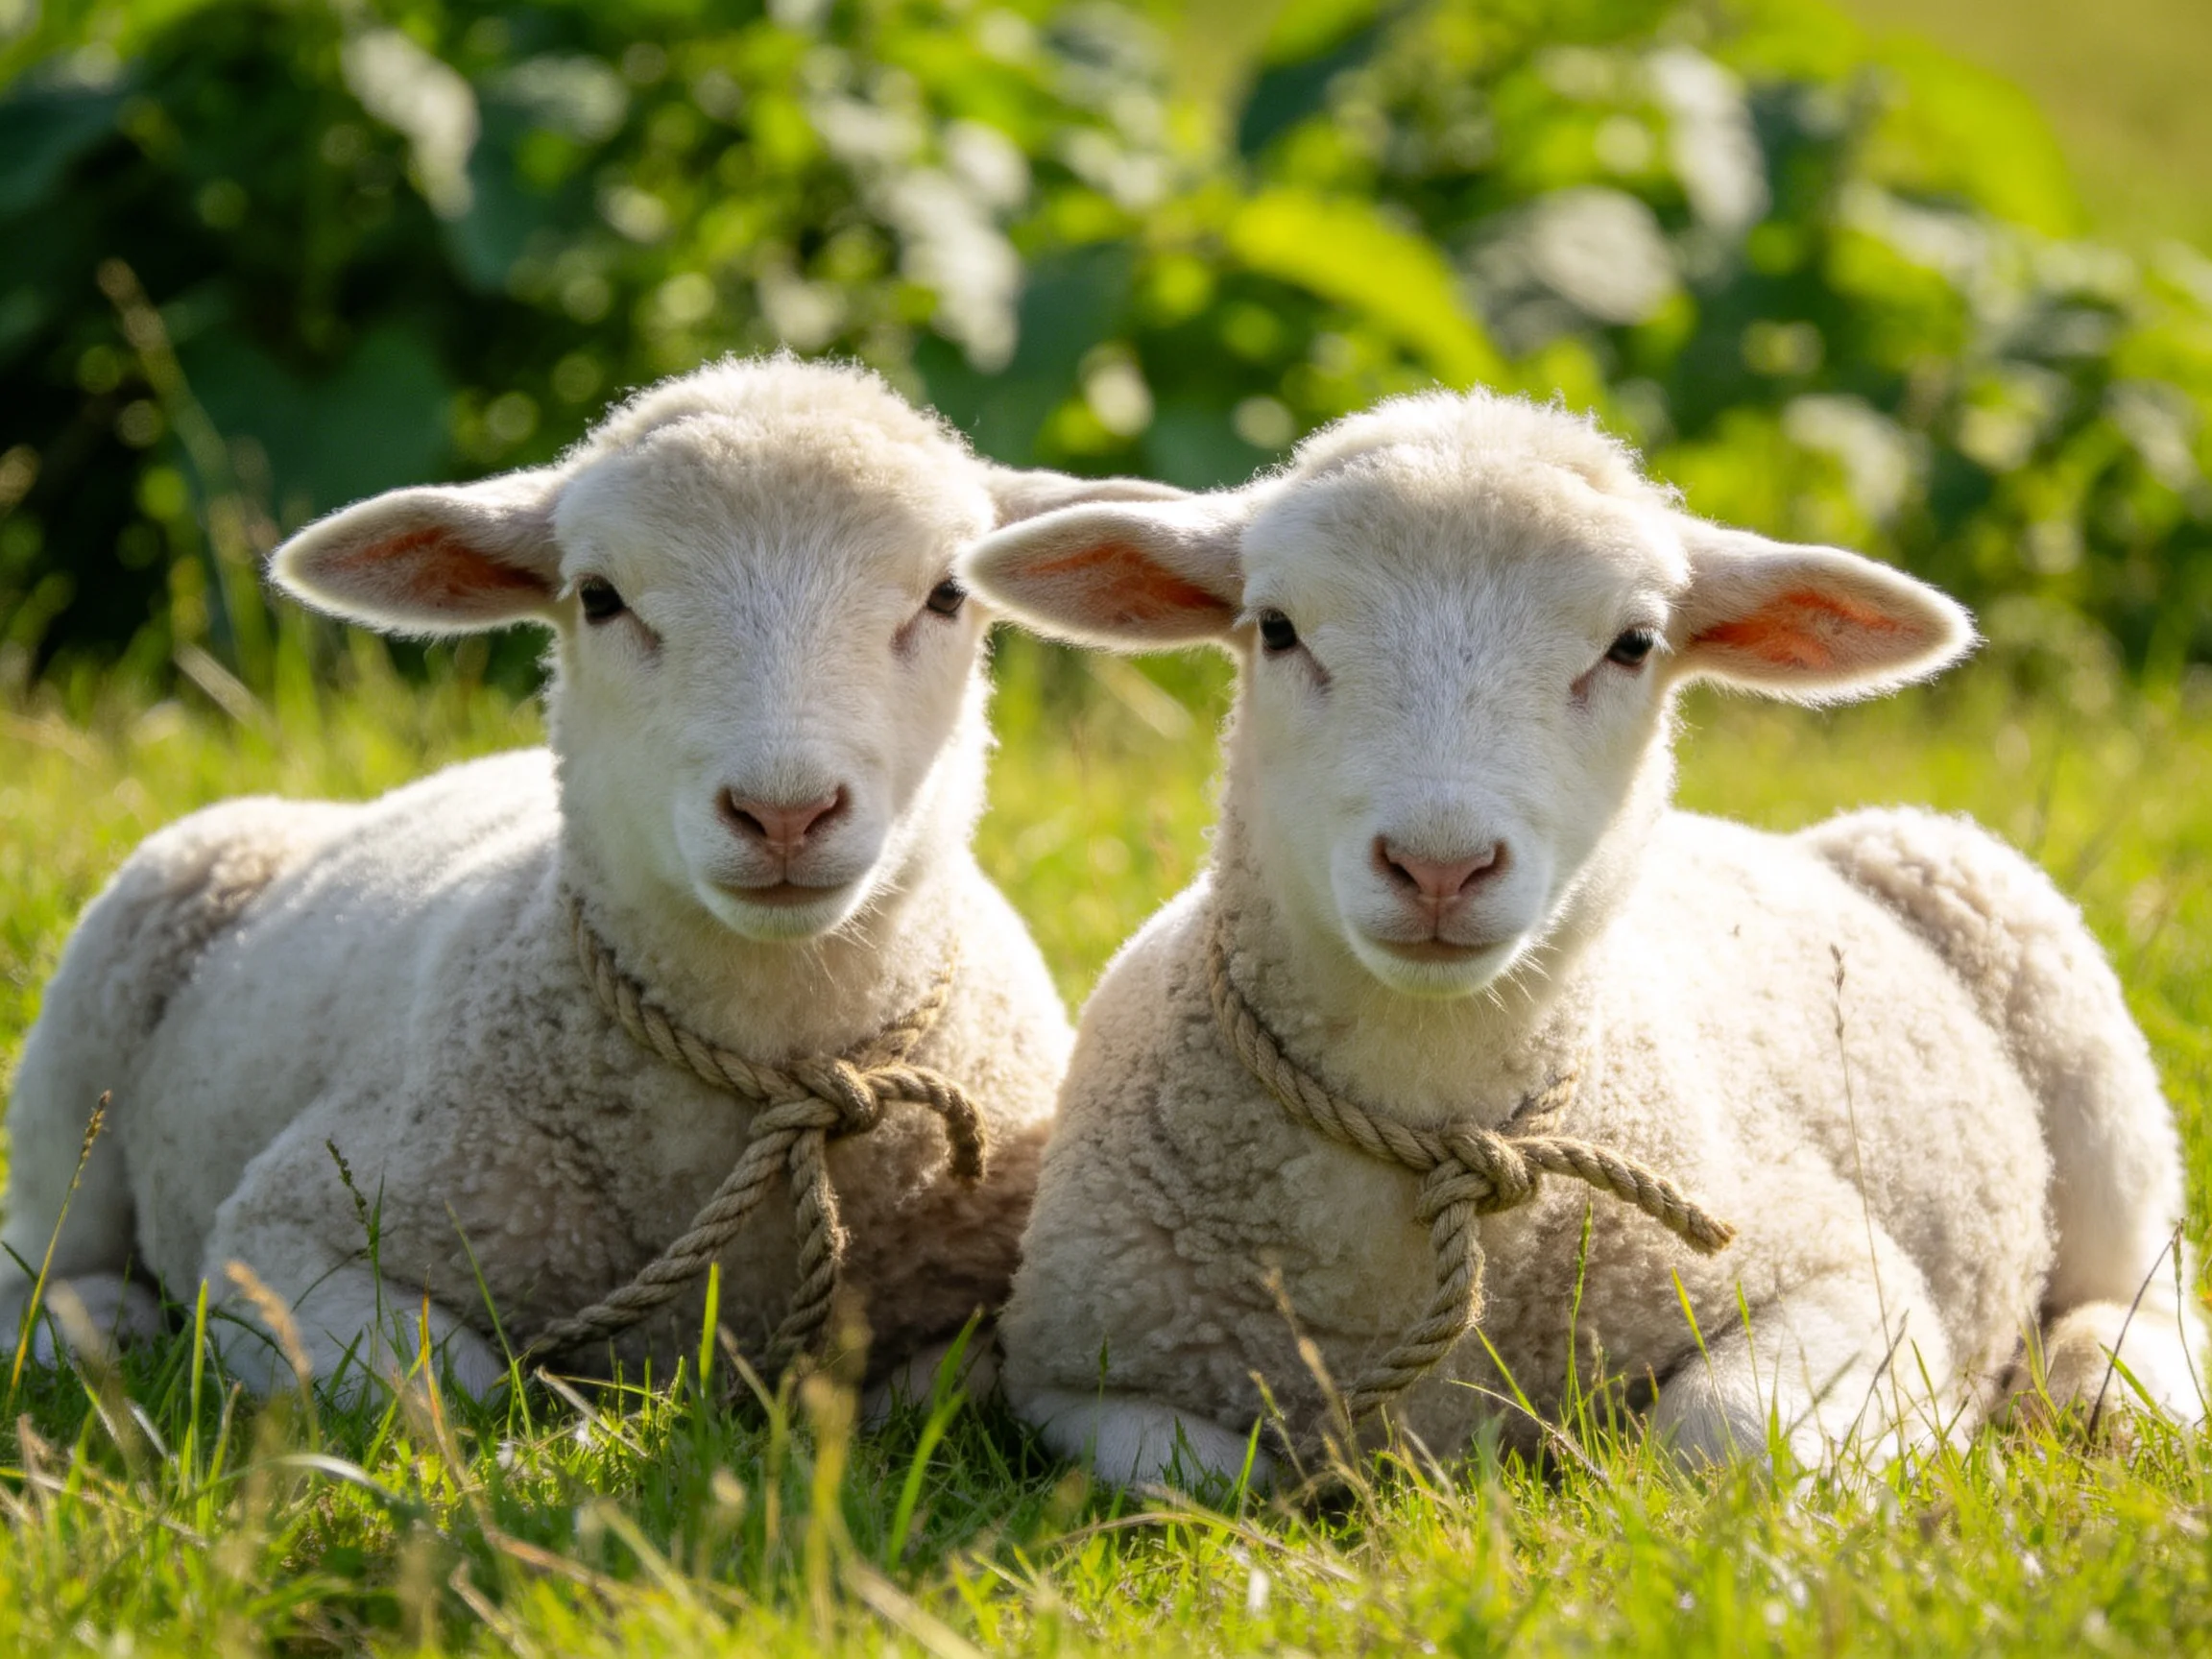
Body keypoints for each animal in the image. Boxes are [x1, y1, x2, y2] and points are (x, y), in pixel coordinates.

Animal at [0, 355, 1180, 1400]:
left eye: (944, 596)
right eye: (602, 599)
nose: (784, 812)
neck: (776, 1041)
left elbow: (941, 1391)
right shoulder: (283, 1236)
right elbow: (448, 1392)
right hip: (93, 1019)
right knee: (48, 1248)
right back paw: (93, 1327)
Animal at [957, 387, 2205, 1486]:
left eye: (1634, 644)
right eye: (1276, 628)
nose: (1440, 865)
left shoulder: (1840, 1277)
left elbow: (1726, 1442)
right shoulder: (1073, 1366)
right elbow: (1195, 1474)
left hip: (2070, 1028)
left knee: (2145, 1285)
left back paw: (2104, 1386)